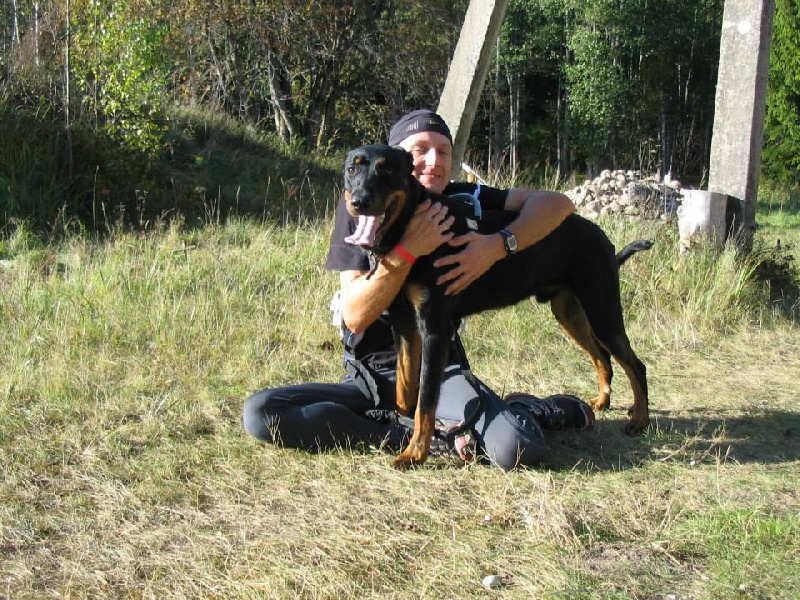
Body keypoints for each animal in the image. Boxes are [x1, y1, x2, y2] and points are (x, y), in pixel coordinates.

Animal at [344, 145, 648, 468]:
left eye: (387, 169)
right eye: (352, 168)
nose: (359, 201)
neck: (408, 224)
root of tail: (603, 238)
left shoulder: (434, 328)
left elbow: (426, 398)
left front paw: (414, 453)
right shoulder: (404, 324)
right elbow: (404, 389)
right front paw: (403, 424)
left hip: (602, 309)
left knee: (634, 364)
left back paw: (640, 420)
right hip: (570, 312)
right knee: (602, 357)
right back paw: (602, 400)